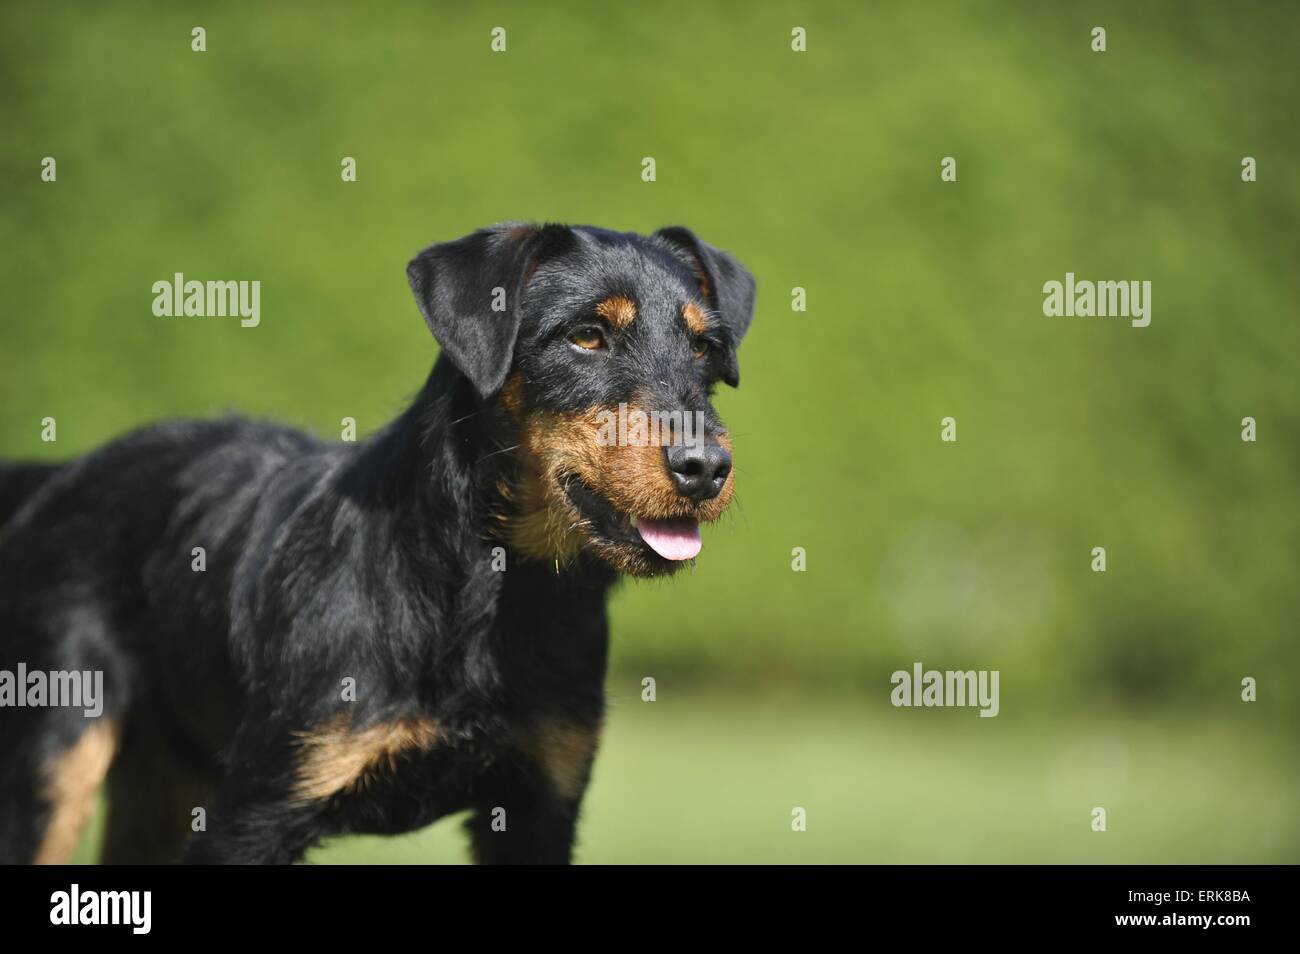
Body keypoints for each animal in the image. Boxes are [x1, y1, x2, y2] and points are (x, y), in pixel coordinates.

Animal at [0, 226, 759, 868]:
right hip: (56, 753)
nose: (704, 467)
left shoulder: (538, 805)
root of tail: (60, 475)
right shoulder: (254, 817)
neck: (491, 586)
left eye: (704, 348)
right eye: (587, 336)